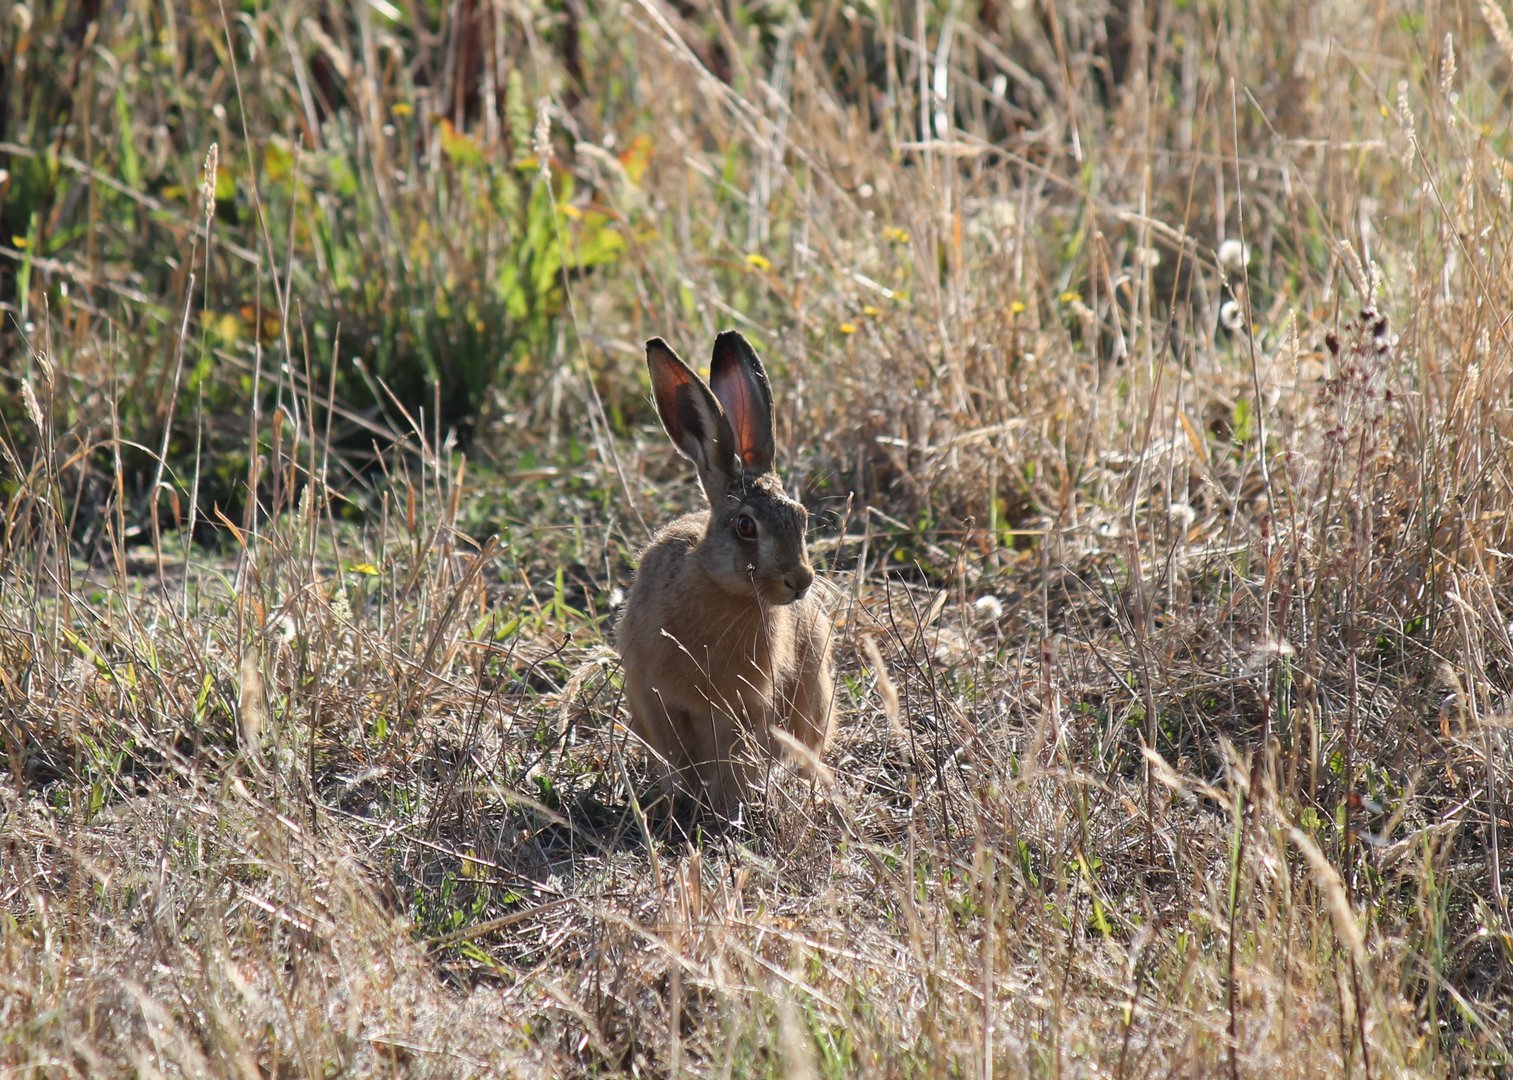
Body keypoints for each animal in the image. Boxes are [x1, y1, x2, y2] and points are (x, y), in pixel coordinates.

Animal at [617, 330, 836, 815]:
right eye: (745, 527)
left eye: (801, 517)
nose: (800, 581)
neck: (724, 589)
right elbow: (678, 757)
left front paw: (727, 807)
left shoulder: (750, 705)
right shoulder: (657, 696)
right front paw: (687, 805)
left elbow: (735, 760)